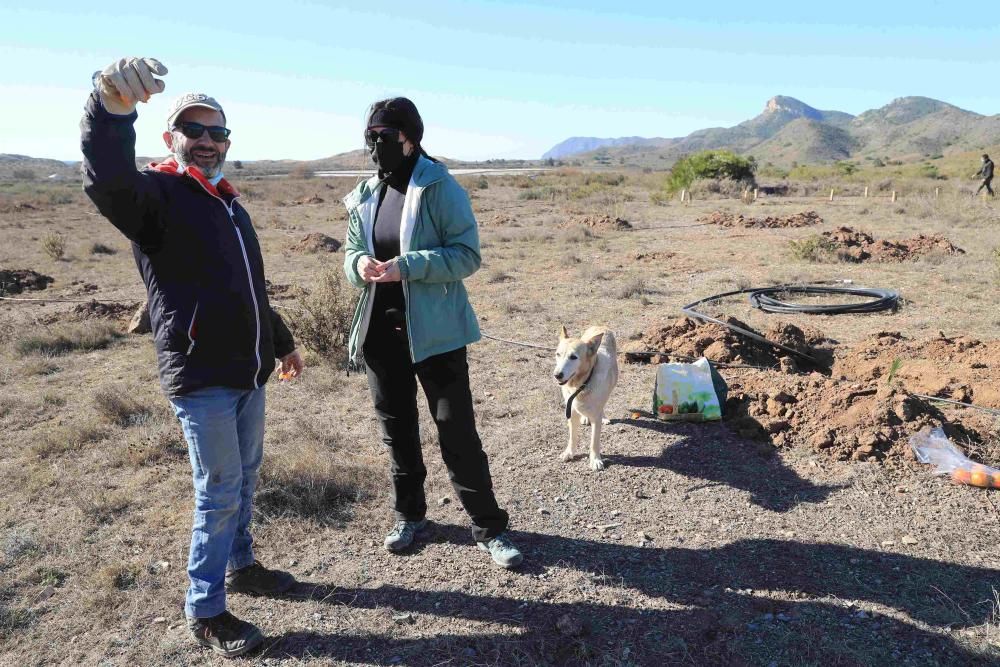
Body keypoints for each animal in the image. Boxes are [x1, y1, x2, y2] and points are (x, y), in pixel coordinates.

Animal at [556, 326, 616, 472]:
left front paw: (595, 460)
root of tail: (601, 326)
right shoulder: (571, 411)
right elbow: (572, 437)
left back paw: (604, 417)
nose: (557, 375)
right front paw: (569, 453)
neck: (581, 385)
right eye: (558, 354)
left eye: (573, 357)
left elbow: (594, 441)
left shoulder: (596, 416)